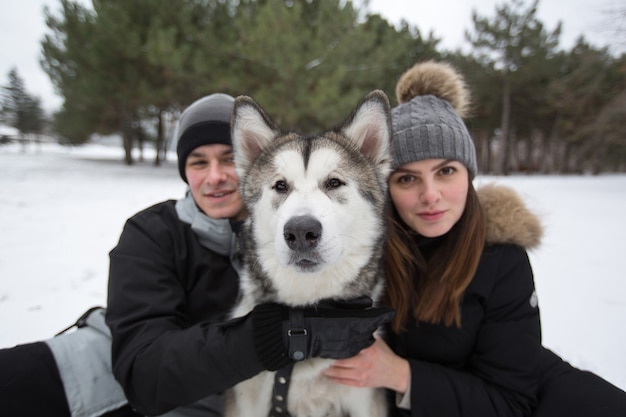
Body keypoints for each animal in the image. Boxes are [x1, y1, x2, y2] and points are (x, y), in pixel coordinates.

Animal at [224, 91, 390, 416]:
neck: (304, 317)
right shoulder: (248, 401)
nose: (301, 232)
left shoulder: (364, 398)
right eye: (280, 186)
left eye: (334, 182)